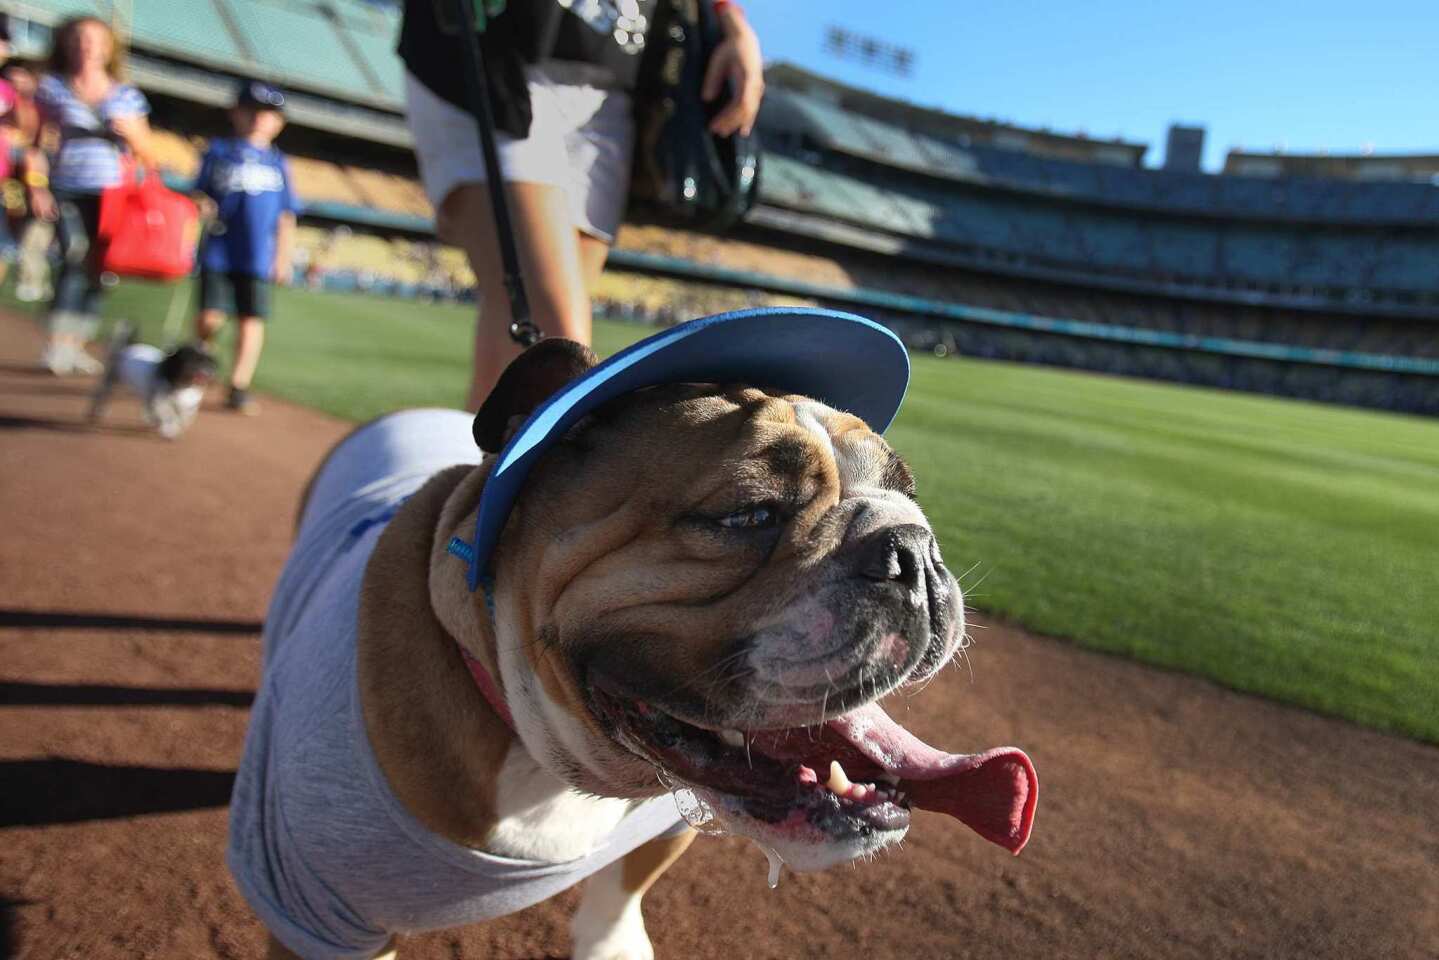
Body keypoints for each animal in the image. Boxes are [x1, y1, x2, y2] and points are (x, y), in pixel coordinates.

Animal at [89, 325, 217, 440]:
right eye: (191, 359)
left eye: (207, 361)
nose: (206, 371)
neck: (183, 385)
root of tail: (127, 347)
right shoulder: (161, 401)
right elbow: (168, 415)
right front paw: (169, 430)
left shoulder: (189, 405)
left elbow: (184, 417)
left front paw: (175, 426)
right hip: (111, 379)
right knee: (101, 394)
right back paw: (96, 411)